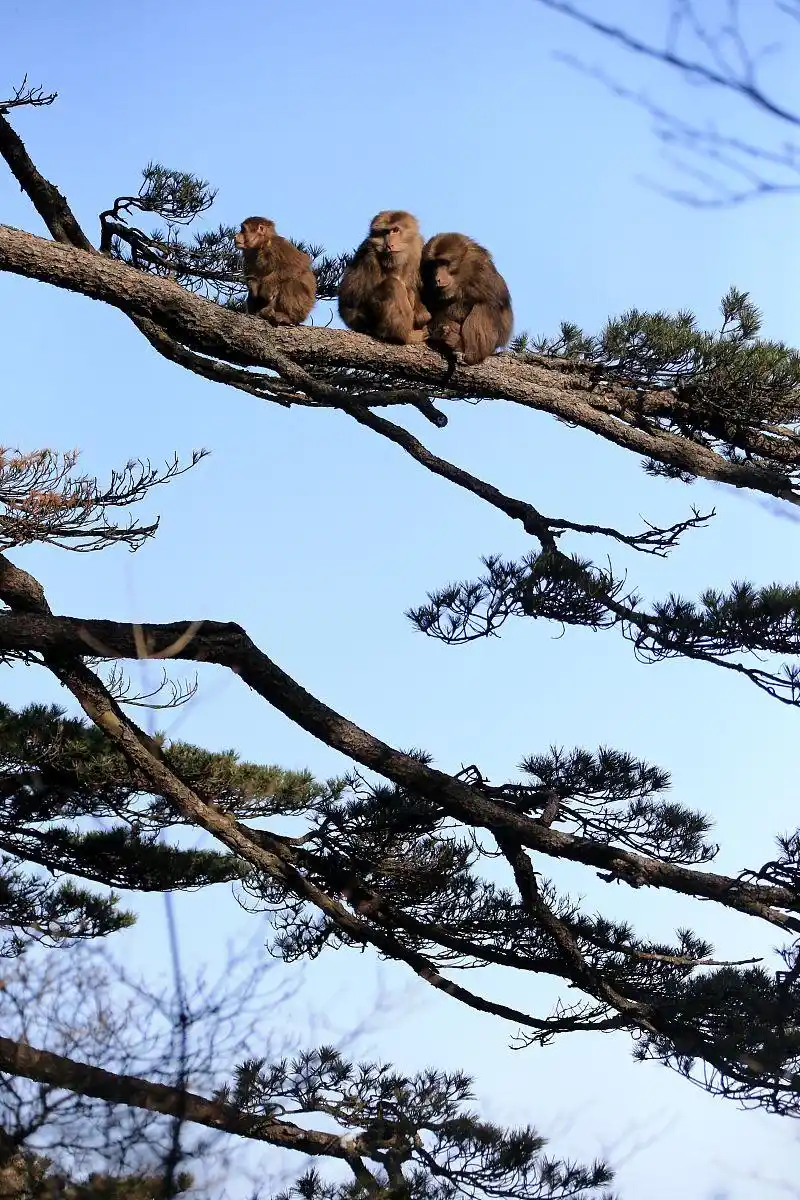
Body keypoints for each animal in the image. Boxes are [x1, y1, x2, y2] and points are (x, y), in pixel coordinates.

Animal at [338, 211, 430, 345]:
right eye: (385, 232)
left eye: (395, 230)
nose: (389, 244)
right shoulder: (368, 254)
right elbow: (348, 303)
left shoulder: (418, 247)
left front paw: (422, 315)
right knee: (393, 285)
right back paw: (403, 336)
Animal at [421, 233, 513, 366]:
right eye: (434, 265)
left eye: (444, 262)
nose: (437, 278)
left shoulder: (482, 270)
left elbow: (495, 299)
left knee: (485, 306)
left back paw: (469, 351)